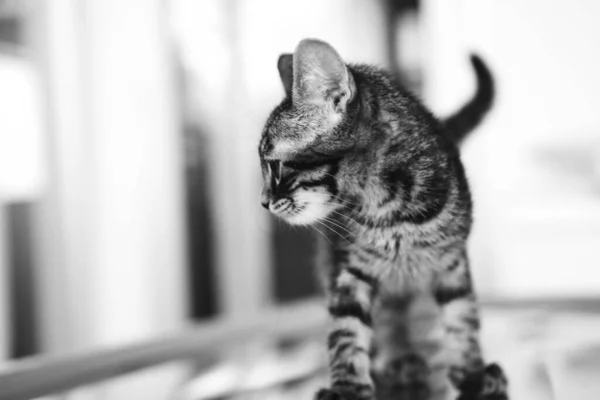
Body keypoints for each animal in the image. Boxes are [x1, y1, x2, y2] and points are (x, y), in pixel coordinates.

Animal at [256, 38, 506, 400]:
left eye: (275, 165)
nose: (263, 202)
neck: (390, 211)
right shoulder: (350, 269)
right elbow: (345, 330)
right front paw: (347, 387)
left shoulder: (453, 261)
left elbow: (462, 317)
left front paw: (472, 375)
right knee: (387, 318)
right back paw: (397, 359)